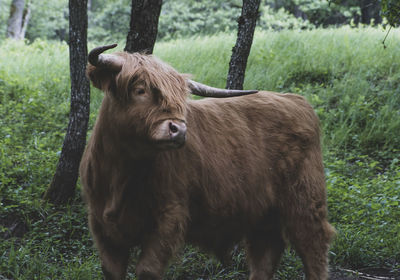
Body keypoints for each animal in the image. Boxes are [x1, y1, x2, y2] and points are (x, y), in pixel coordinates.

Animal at [79, 44, 334, 280]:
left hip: (305, 200)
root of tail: (296, 100)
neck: (120, 173)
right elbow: (111, 270)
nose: (179, 130)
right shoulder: (101, 226)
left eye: (181, 98)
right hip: (262, 214)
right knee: (266, 254)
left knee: (313, 247)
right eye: (139, 90)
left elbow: (147, 270)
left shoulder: (169, 217)